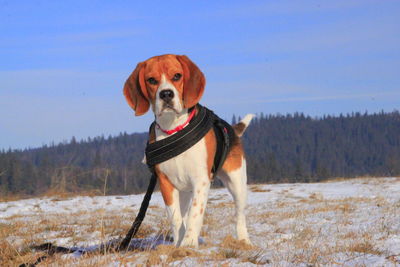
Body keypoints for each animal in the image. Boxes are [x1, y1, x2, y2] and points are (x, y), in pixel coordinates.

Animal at [122, 55, 253, 249]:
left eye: (177, 76)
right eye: (151, 80)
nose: (166, 94)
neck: (174, 129)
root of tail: (232, 130)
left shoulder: (201, 181)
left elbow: (194, 215)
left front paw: (189, 244)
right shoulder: (166, 183)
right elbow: (176, 218)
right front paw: (179, 244)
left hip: (237, 182)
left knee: (240, 214)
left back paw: (244, 240)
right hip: (183, 190)